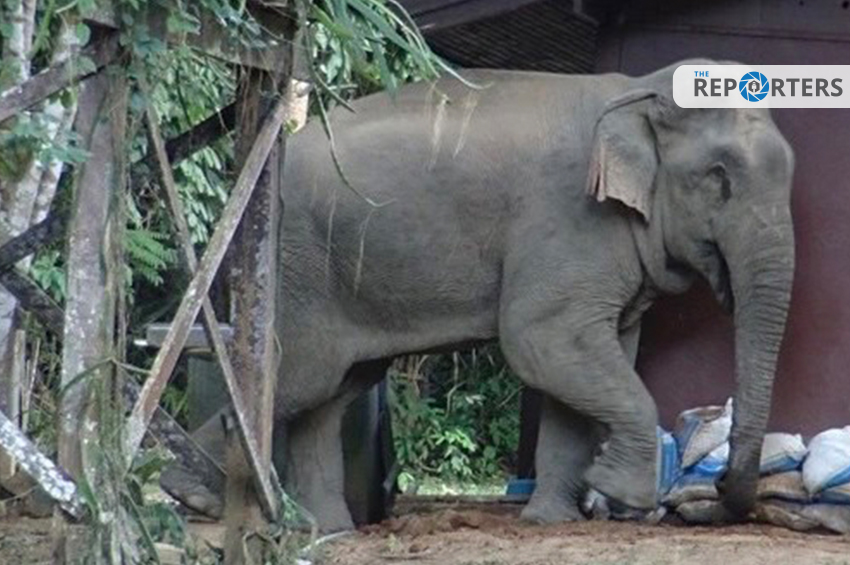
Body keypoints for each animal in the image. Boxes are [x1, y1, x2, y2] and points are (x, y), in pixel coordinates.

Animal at [163, 58, 796, 532]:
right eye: (719, 176)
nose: (714, 485)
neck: (637, 88)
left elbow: (591, 358)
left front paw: (553, 521)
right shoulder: (569, 217)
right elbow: (541, 340)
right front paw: (617, 490)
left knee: (337, 389)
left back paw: (327, 530)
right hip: (295, 259)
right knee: (300, 376)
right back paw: (196, 496)